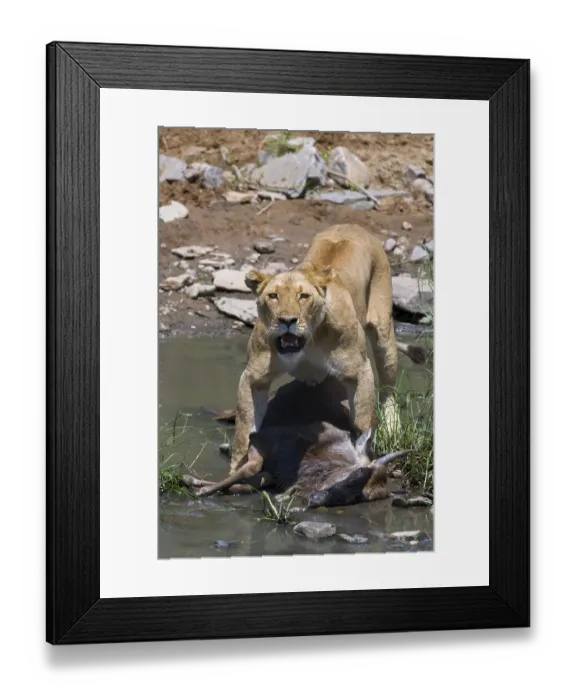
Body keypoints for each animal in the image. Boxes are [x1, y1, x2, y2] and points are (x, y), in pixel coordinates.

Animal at [229, 224, 426, 476]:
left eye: (304, 296)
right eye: (273, 296)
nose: (287, 320)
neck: (308, 342)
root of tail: (353, 225)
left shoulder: (359, 371)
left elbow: (363, 421)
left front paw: (363, 461)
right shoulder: (254, 377)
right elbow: (244, 429)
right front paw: (237, 469)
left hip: (383, 329)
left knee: (388, 388)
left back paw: (391, 428)